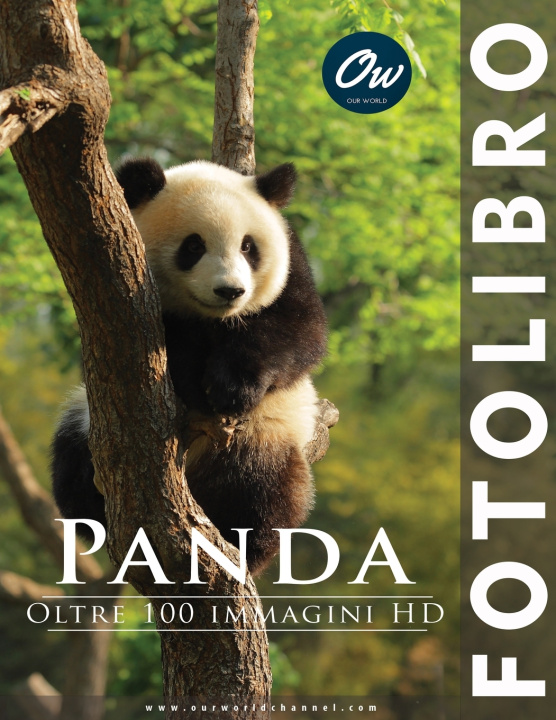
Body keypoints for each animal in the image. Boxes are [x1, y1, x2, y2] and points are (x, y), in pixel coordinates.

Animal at [51, 158, 328, 576]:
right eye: (193, 246)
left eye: (248, 246)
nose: (230, 291)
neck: (213, 319)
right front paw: (196, 383)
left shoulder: (293, 269)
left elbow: (298, 330)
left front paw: (230, 388)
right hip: (87, 421)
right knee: (70, 463)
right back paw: (92, 501)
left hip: (265, 435)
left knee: (262, 491)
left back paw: (243, 545)